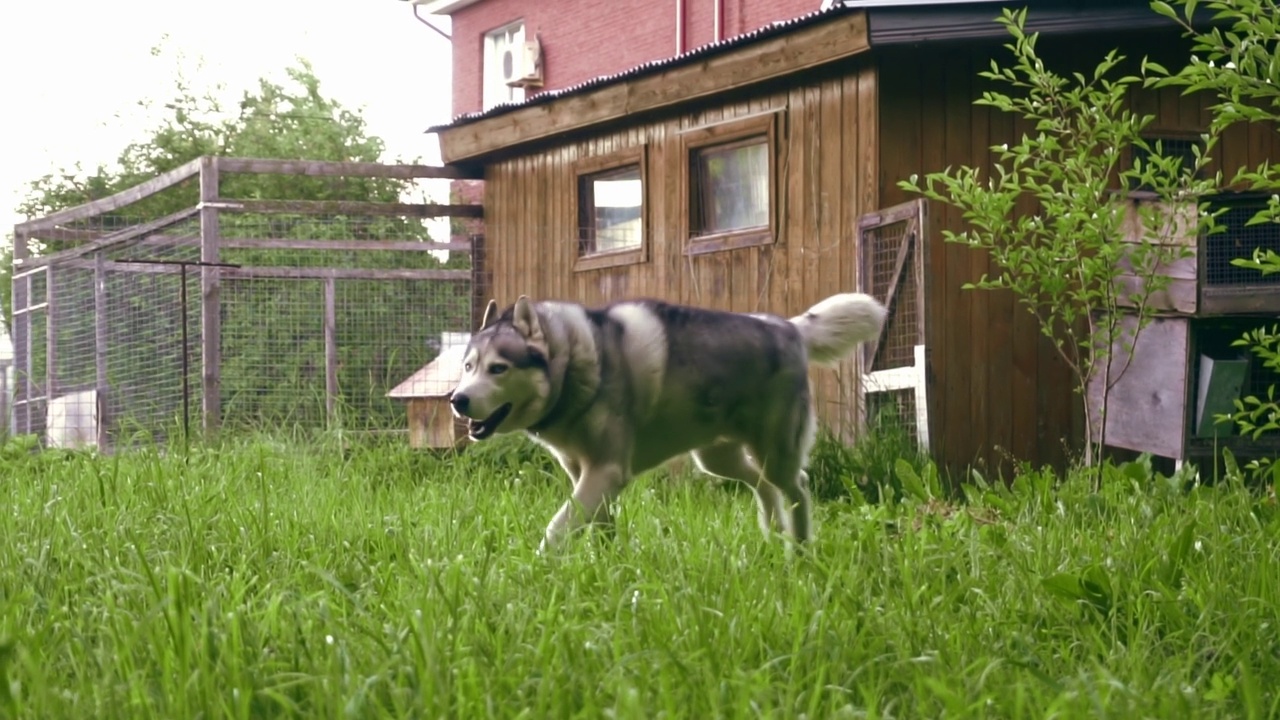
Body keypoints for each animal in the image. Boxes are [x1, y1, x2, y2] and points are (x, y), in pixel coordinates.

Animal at [453, 292, 890, 548]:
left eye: (498, 368)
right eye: (468, 366)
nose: (457, 400)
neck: (577, 362)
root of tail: (789, 327)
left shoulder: (606, 471)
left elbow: (558, 528)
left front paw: (545, 567)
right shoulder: (588, 475)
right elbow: (599, 525)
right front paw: (608, 566)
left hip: (775, 452)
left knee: (796, 485)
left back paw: (799, 548)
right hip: (716, 459)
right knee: (763, 485)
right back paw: (772, 534)